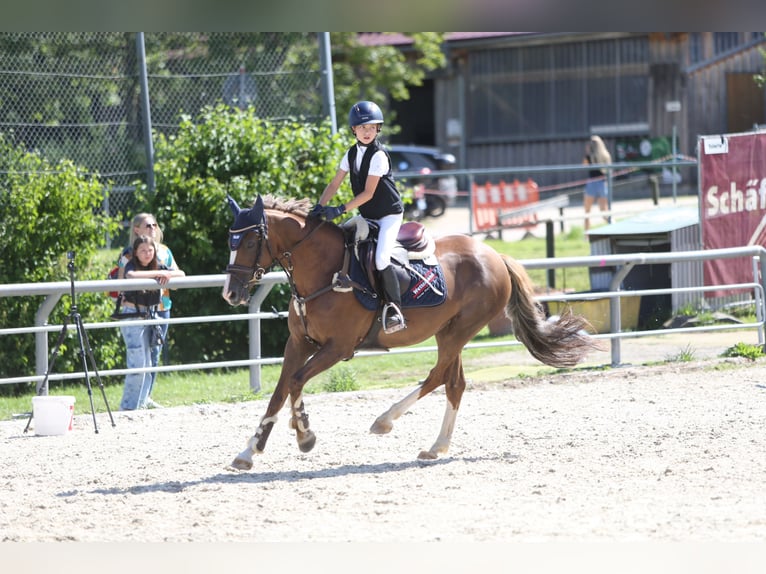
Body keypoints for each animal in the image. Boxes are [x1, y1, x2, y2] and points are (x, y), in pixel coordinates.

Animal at [222, 195, 600, 472]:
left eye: (251, 240)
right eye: (230, 239)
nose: (231, 294)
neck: (322, 271)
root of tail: (494, 254)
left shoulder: (337, 347)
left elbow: (297, 382)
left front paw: (304, 434)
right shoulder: (298, 343)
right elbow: (280, 390)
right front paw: (250, 451)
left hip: (459, 330)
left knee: (437, 376)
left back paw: (385, 421)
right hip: (449, 332)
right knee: (454, 382)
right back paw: (436, 447)